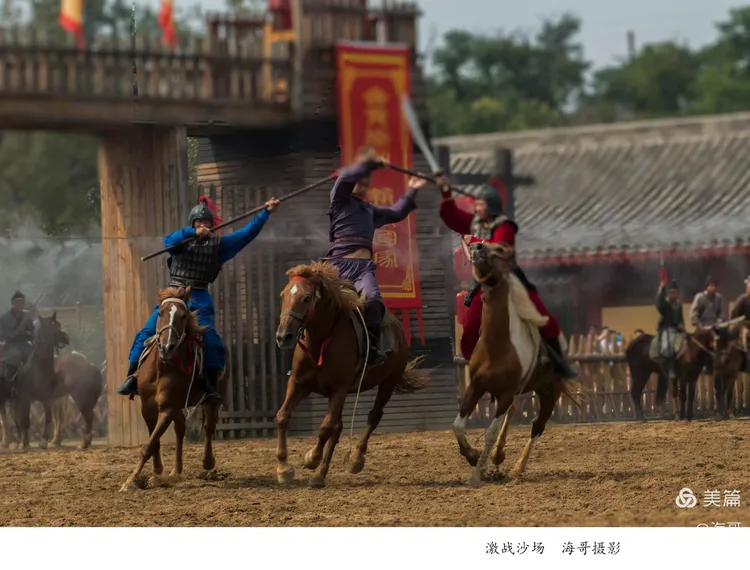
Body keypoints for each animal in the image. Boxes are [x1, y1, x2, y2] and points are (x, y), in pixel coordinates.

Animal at [0, 313, 70, 450]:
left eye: (58, 324)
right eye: (53, 326)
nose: (66, 338)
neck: (38, 369)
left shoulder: (47, 399)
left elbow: (48, 418)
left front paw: (43, 441)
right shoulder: (25, 399)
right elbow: (25, 420)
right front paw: (26, 444)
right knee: (7, 420)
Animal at [119, 286, 222, 492]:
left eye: (183, 316)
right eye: (160, 313)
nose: (167, 347)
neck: (163, 367)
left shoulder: (167, 408)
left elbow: (149, 445)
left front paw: (131, 481)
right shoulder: (148, 406)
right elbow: (154, 441)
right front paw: (157, 473)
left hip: (207, 400)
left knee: (208, 426)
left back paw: (207, 463)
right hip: (177, 406)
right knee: (180, 428)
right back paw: (176, 472)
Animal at [274, 261, 428, 488]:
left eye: (306, 298)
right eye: (283, 295)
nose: (283, 336)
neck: (320, 342)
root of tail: (398, 328)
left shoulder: (339, 389)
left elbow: (325, 428)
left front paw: (311, 458)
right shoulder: (299, 383)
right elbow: (283, 416)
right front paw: (284, 468)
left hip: (388, 382)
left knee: (373, 416)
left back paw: (355, 459)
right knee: (338, 428)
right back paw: (320, 476)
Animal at [452, 241, 582, 484]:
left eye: (501, 249)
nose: (476, 246)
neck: (497, 346)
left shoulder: (505, 393)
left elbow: (490, 433)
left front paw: (477, 473)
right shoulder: (476, 386)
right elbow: (458, 426)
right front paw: (472, 456)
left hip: (549, 392)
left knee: (537, 426)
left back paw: (518, 468)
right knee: (513, 413)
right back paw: (498, 456)